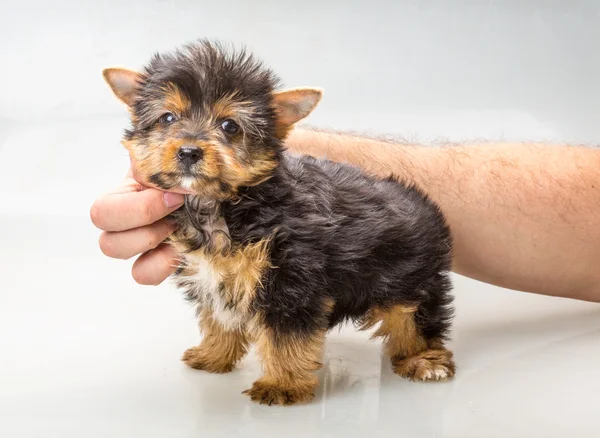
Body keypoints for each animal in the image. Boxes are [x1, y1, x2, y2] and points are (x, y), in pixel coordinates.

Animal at [103, 39, 452, 406]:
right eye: (167, 118)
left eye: (230, 126)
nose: (188, 151)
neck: (219, 204)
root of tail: (419, 200)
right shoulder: (213, 275)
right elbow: (218, 317)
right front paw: (215, 354)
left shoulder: (291, 276)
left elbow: (286, 334)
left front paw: (282, 383)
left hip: (410, 275)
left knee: (415, 318)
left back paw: (424, 359)